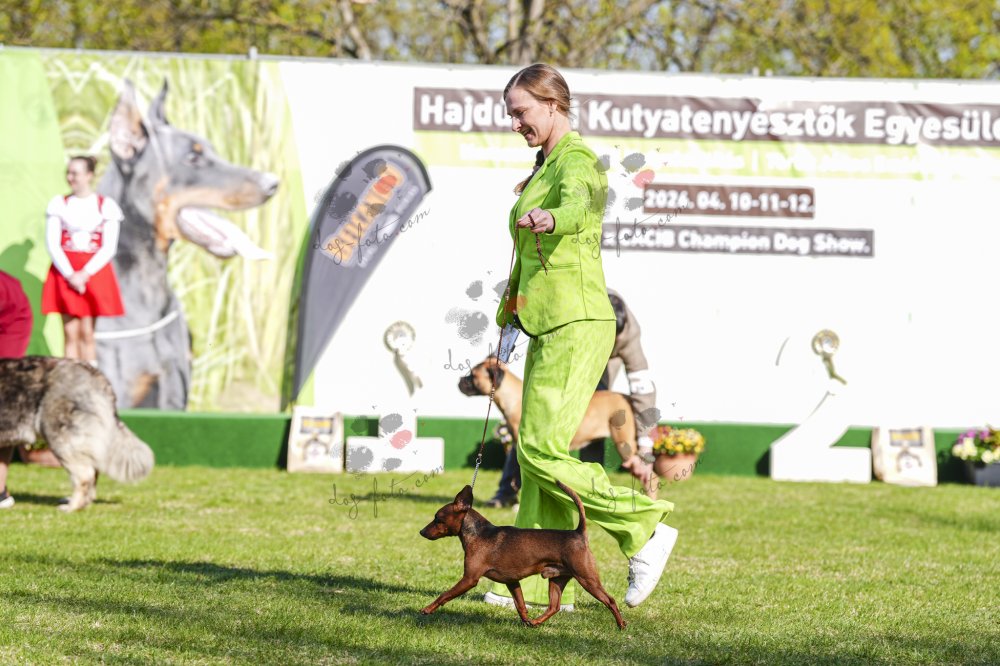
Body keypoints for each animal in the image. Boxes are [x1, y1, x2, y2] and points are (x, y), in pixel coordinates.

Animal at [419, 481, 626, 629]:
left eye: (438, 519)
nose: (421, 532)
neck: (479, 533)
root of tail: (578, 533)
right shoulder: (512, 582)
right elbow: (521, 605)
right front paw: (526, 621)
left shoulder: (469, 579)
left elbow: (444, 595)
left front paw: (427, 609)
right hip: (557, 580)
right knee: (554, 607)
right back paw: (536, 622)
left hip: (587, 579)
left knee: (610, 600)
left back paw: (621, 625)